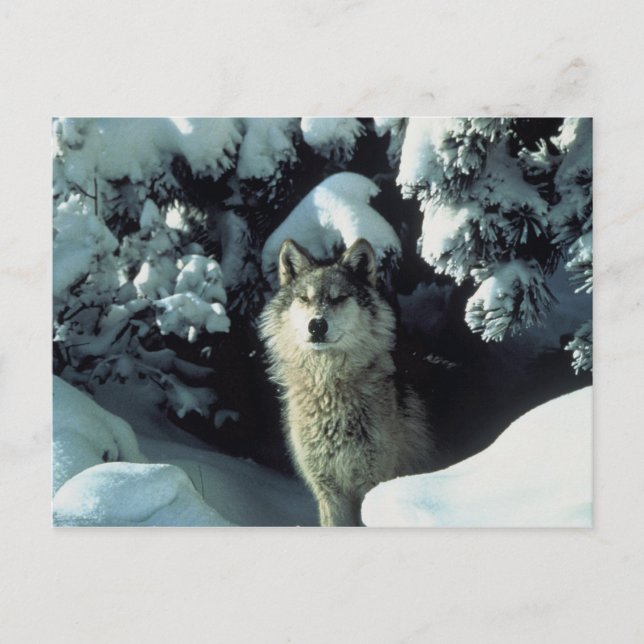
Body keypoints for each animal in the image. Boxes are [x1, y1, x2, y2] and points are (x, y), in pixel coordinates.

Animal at [259, 237, 436, 527]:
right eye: (304, 298)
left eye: (338, 298)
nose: (317, 325)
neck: (329, 389)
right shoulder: (329, 491)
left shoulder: (373, 483)